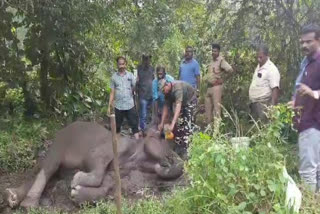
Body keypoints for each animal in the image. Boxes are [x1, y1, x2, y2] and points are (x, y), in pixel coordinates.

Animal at [5, 121, 184, 208]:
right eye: (162, 136)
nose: (170, 159)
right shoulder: (109, 148)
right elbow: (95, 162)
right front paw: (76, 180)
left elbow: (109, 184)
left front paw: (76, 194)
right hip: (60, 142)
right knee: (49, 167)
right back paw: (28, 204)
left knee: (51, 173)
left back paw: (12, 197)